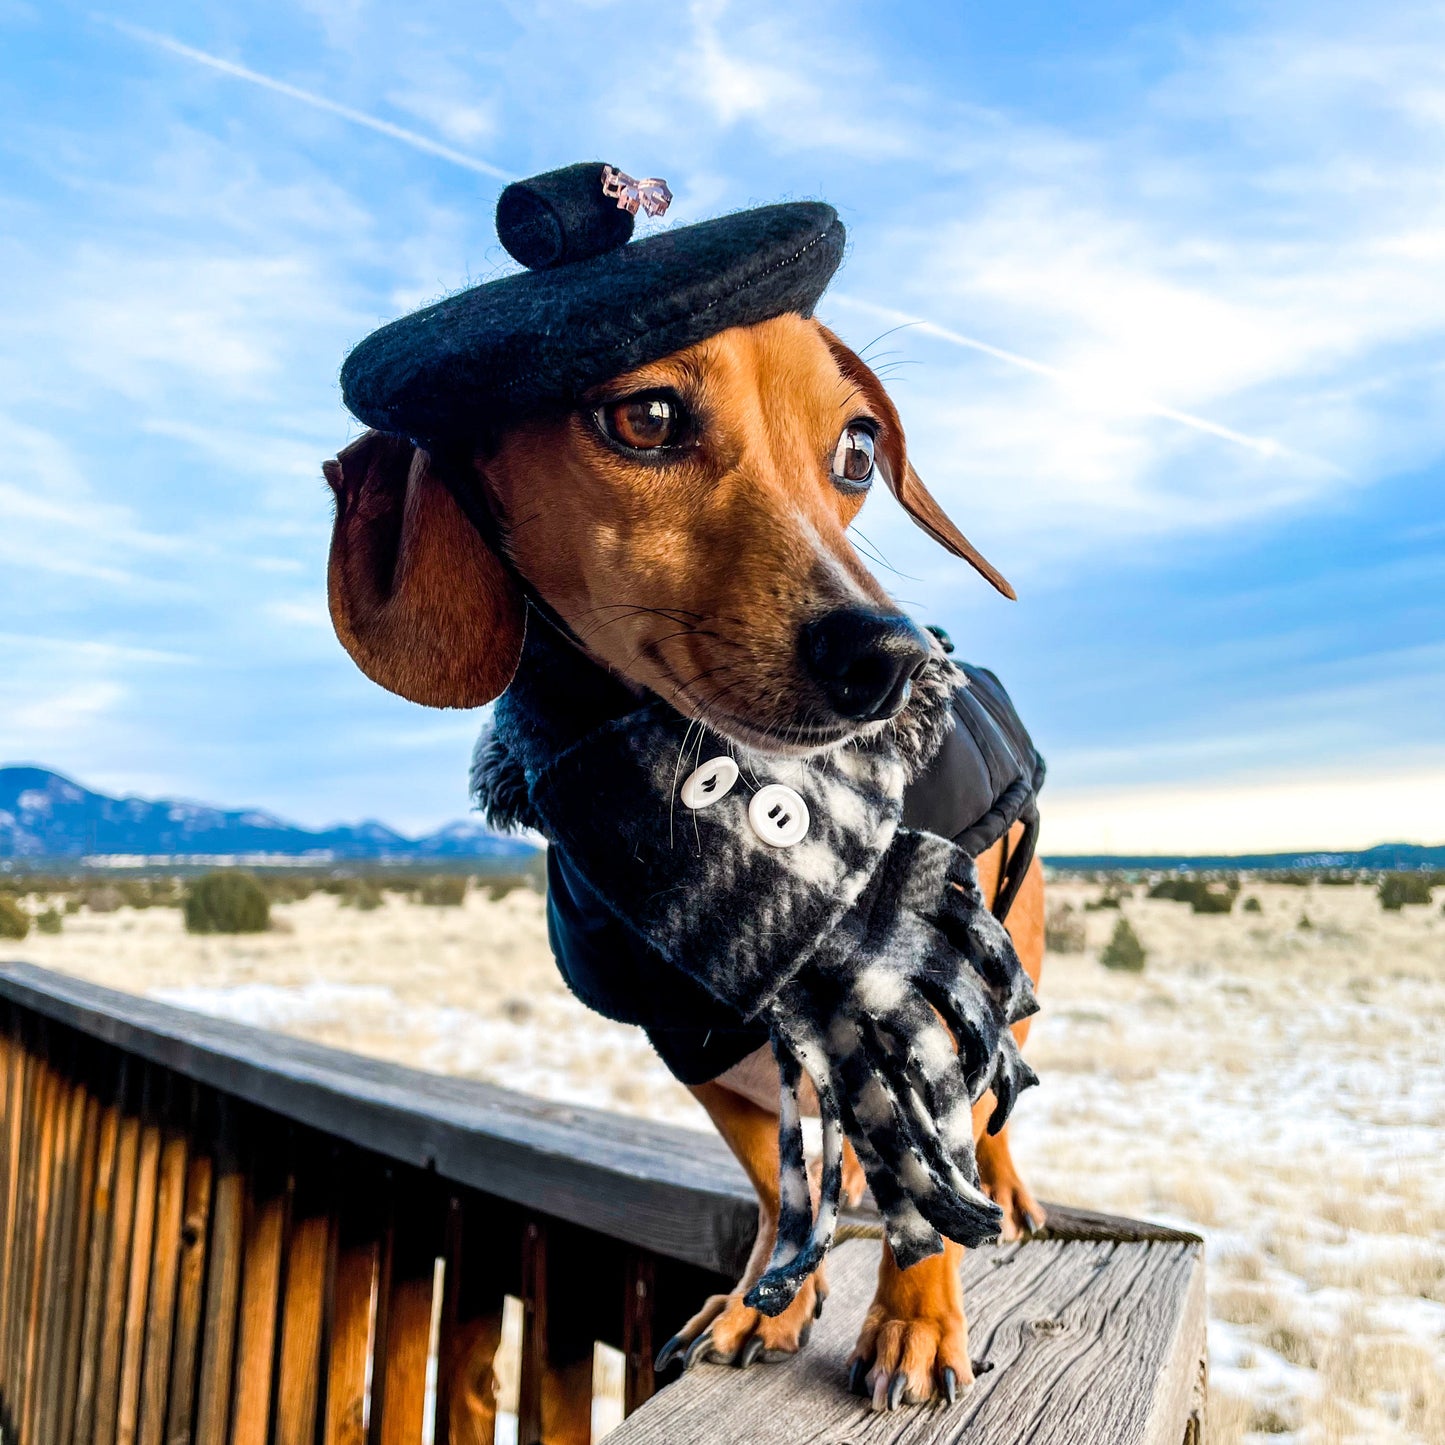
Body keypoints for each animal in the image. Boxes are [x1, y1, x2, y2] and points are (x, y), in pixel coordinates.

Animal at [323, 313, 1046, 1433]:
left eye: (856, 451)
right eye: (647, 416)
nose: (890, 659)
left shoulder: (929, 1001)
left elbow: (931, 1186)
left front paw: (916, 1320)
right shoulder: (687, 1029)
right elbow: (775, 1180)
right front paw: (765, 1300)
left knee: (994, 1100)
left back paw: (1003, 1192)